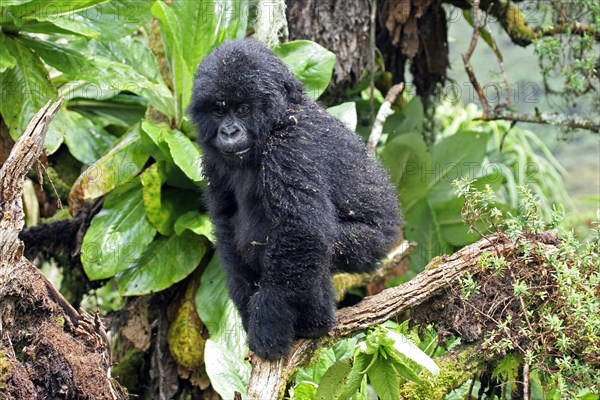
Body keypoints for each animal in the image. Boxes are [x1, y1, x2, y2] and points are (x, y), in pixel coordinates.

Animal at [190, 39, 400, 360]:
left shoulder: (290, 148)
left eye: (242, 109)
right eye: (217, 111)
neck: (275, 121)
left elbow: (302, 231)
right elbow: (226, 224)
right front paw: (248, 309)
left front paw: (268, 323)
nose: (229, 131)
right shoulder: (213, 160)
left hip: (370, 248)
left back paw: (317, 322)